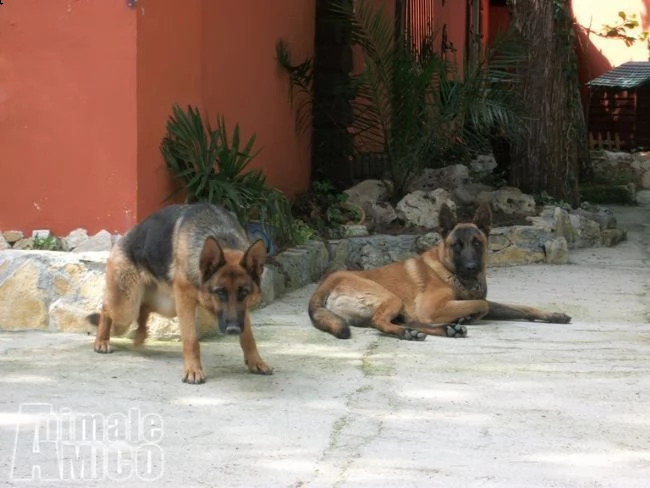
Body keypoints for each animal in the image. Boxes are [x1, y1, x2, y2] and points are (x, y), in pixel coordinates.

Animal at [87, 204, 270, 384]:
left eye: (244, 292)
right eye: (220, 292)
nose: (233, 330)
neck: (221, 235)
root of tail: (121, 239)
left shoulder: (241, 312)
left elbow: (248, 337)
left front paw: (256, 361)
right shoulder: (185, 299)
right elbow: (191, 340)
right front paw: (193, 370)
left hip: (166, 306)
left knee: (144, 309)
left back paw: (140, 336)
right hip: (126, 308)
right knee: (106, 309)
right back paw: (102, 341)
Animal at [308, 202, 568, 340]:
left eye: (477, 243)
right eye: (457, 245)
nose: (472, 268)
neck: (451, 273)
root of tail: (328, 281)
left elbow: (521, 307)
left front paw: (553, 315)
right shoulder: (434, 308)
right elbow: (481, 305)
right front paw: (469, 316)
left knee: (410, 321)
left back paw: (446, 329)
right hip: (391, 298)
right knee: (378, 322)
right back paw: (409, 333)